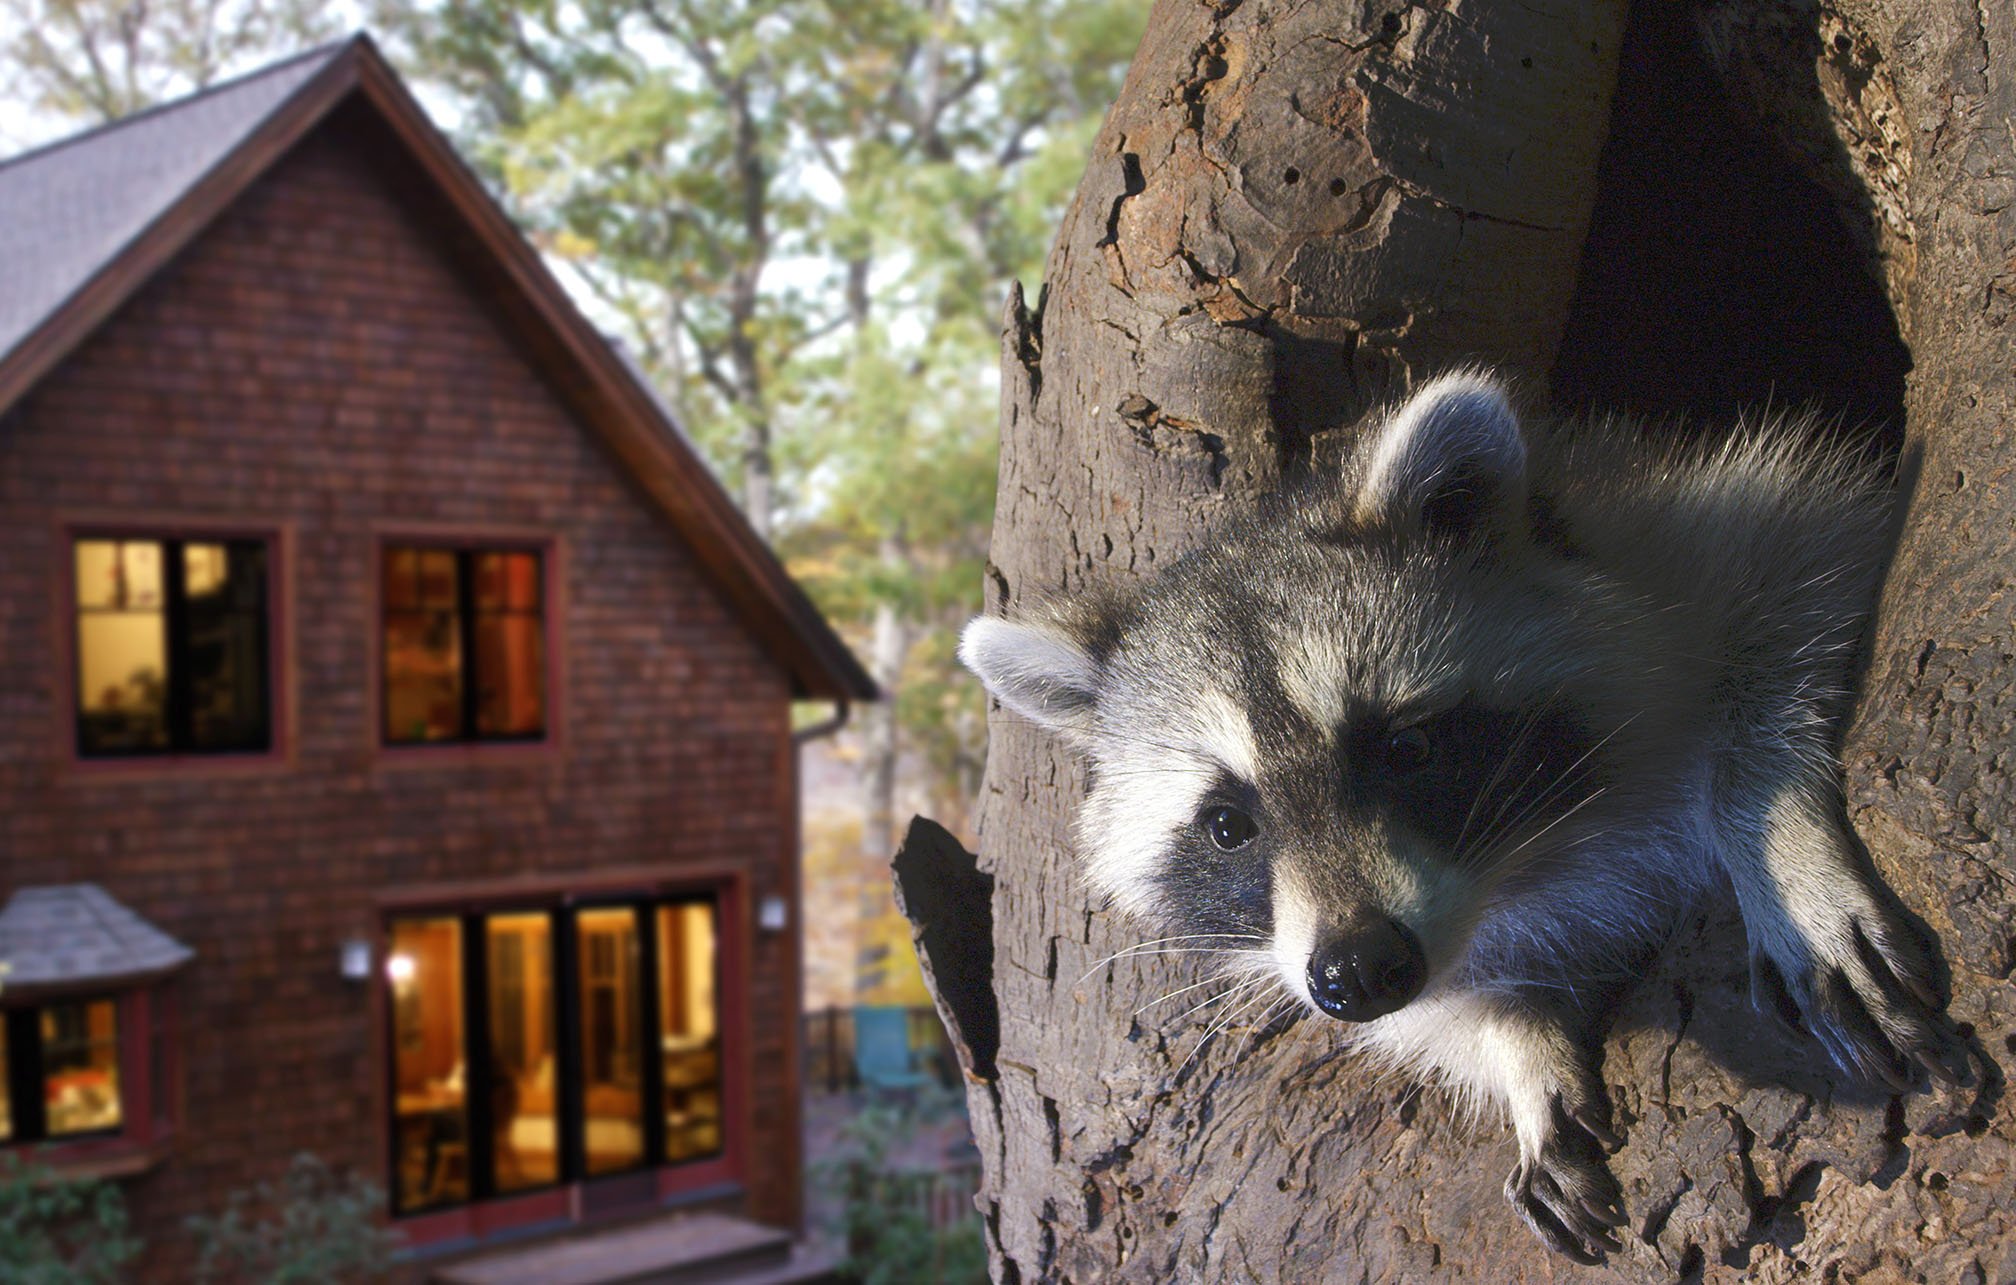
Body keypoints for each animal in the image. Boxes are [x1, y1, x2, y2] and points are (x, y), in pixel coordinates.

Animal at [958, 371, 1967, 1262]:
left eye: (1405, 747)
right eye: (1227, 825)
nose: (1360, 968)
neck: (1516, 865)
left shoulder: (1688, 532)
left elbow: (1804, 553)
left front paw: (1773, 828)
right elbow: (1442, 1002)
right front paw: (1514, 1042)